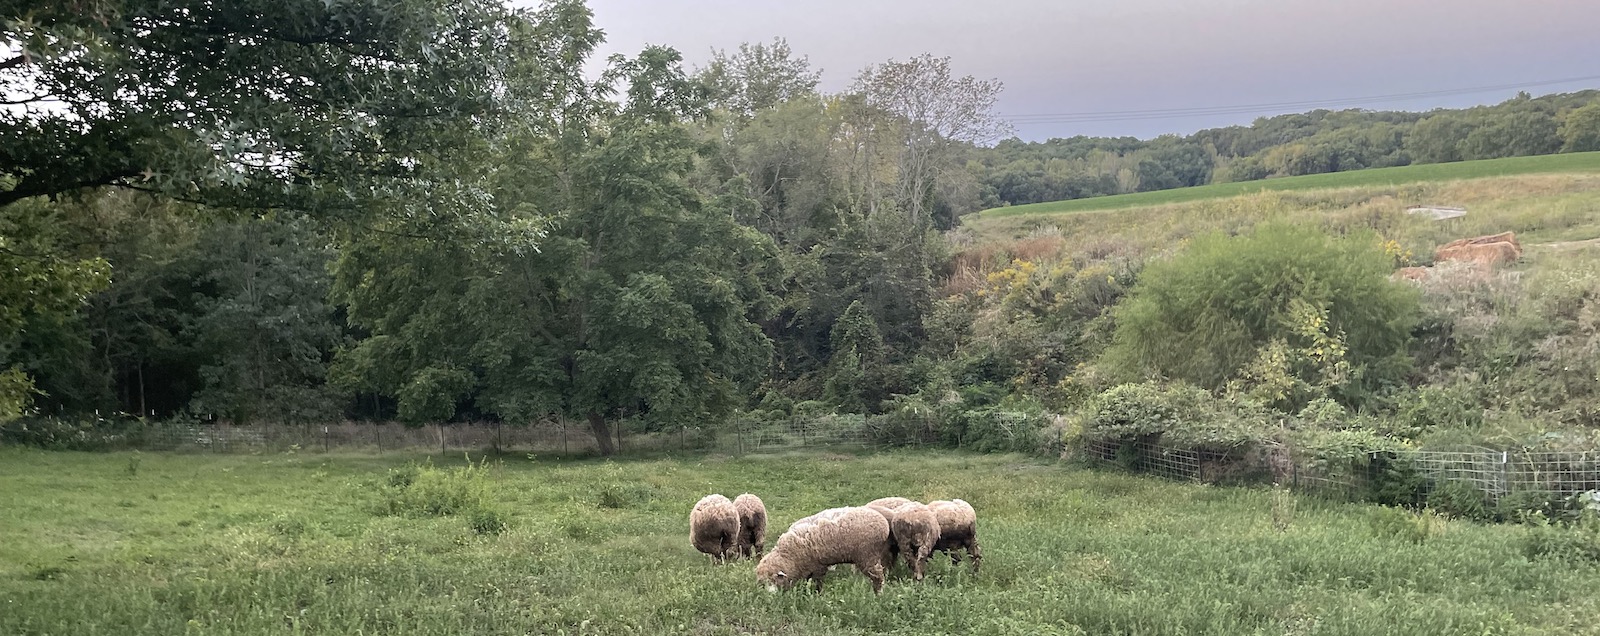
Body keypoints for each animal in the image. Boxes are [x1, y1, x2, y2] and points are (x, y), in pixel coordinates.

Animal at [755, 504, 896, 594]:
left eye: (773, 579)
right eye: (762, 582)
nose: (770, 596)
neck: (790, 556)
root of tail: (883, 521)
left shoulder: (819, 566)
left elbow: (817, 583)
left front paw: (816, 594)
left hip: (867, 555)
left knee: (878, 577)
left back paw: (878, 594)